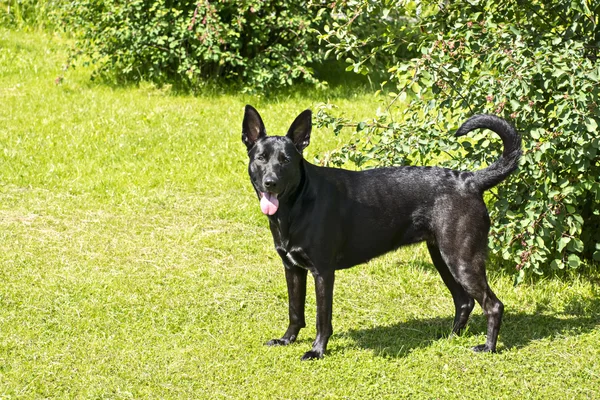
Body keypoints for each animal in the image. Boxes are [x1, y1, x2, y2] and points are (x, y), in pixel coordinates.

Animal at [241, 104, 524, 360]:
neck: (298, 203)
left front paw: (317, 351)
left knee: (493, 305)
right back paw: (449, 337)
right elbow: (295, 311)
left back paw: (488, 347)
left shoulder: (323, 272)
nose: (270, 182)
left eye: (286, 160)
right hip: (442, 258)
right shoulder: (292, 268)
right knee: (464, 301)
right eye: (261, 158)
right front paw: (287, 340)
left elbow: (323, 318)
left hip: (462, 260)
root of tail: (471, 180)